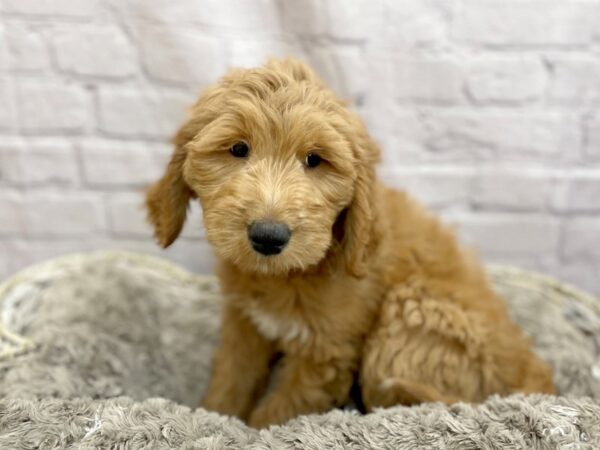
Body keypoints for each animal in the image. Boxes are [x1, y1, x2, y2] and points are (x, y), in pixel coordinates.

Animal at [146, 58, 556, 428]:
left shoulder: (324, 356)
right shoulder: (244, 325)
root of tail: (534, 378)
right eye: (237, 149)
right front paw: (214, 416)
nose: (268, 236)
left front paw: (251, 431)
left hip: (406, 316)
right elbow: (231, 380)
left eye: (315, 160)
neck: (283, 276)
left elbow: (276, 415)